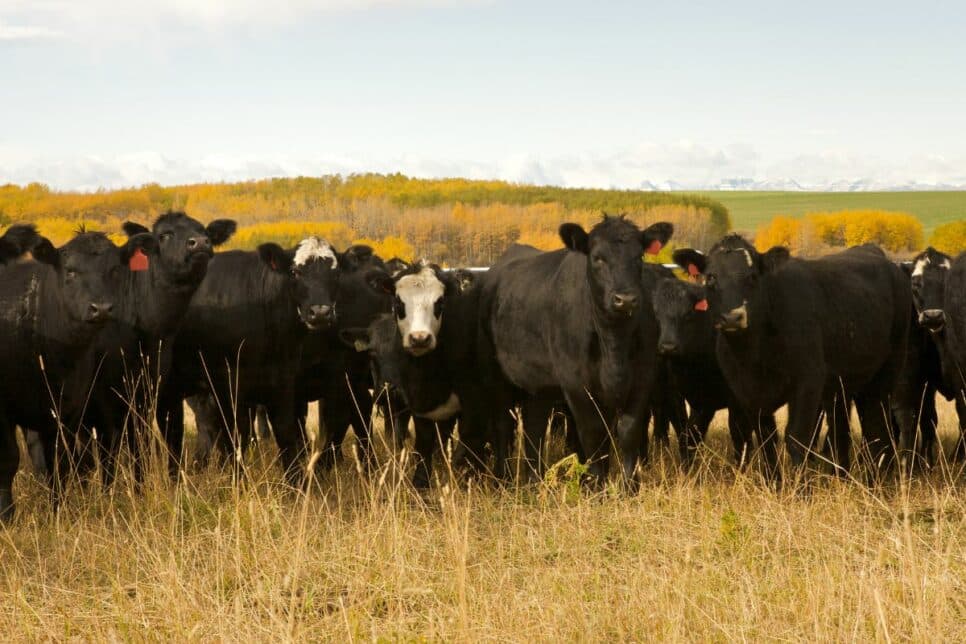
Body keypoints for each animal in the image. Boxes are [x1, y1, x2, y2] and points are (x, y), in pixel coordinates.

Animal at [0, 229, 157, 516]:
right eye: (70, 271)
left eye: (114, 270)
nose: (101, 308)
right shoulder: (3, 411)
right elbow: (8, 461)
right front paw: (7, 515)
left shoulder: (67, 410)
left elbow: (61, 464)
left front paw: (58, 511)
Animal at [163, 235, 348, 484]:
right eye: (294, 272)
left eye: (336, 274)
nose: (320, 312)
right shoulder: (227, 384)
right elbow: (235, 434)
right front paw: (237, 480)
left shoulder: (283, 380)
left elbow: (286, 432)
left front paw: (296, 483)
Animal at [476, 216, 672, 488]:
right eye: (597, 258)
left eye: (639, 257)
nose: (626, 299)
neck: (614, 344)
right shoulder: (576, 384)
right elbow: (593, 432)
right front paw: (596, 484)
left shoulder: (642, 377)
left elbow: (628, 430)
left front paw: (629, 486)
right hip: (496, 377)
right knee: (504, 426)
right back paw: (502, 479)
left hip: (539, 386)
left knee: (534, 427)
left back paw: (534, 480)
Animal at [672, 236, 916, 478]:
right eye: (711, 277)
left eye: (752, 276)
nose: (732, 317)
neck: (755, 355)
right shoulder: (748, 394)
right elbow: (766, 440)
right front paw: (774, 483)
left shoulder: (807, 384)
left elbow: (797, 440)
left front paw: (800, 487)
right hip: (841, 388)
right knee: (841, 432)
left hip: (885, 376)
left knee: (878, 432)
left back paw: (875, 480)